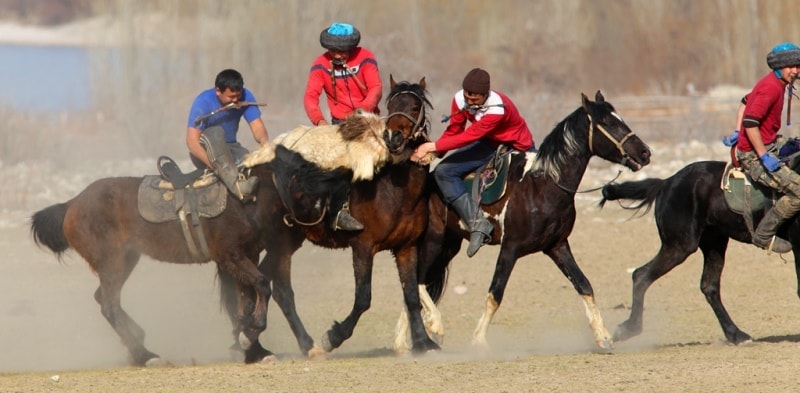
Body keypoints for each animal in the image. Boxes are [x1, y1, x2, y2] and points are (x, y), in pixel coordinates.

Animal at [29, 109, 392, 364]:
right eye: (306, 180)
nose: (342, 218)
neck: (249, 197)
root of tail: (71, 204)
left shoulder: (250, 255)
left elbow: (248, 296)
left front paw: (254, 347)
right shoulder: (230, 256)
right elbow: (261, 287)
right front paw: (248, 337)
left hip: (124, 261)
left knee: (105, 300)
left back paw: (139, 346)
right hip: (113, 262)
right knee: (108, 303)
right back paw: (146, 355)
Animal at [219, 74, 440, 358]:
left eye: (414, 107)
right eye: (391, 107)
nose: (393, 138)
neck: (395, 192)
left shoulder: (407, 248)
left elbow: (411, 296)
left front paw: (424, 342)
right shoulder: (363, 247)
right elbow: (363, 298)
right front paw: (333, 337)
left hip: (285, 243)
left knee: (265, 283)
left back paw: (263, 338)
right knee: (265, 286)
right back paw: (257, 339)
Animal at [396, 91, 652, 350]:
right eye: (609, 123)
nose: (645, 153)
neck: (543, 185)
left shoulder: (557, 246)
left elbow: (584, 285)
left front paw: (603, 336)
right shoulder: (510, 248)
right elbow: (495, 294)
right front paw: (478, 341)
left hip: (449, 245)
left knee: (416, 285)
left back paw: (404, 342)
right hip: (434, 241)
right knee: (417, 282)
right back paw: (433, 326)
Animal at [596, 158, 800, 344]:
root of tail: (666, 183)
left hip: (714, 242)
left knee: (709, 286)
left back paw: (735, 334)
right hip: (680, 245)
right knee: (641, 275)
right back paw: (629, 328)